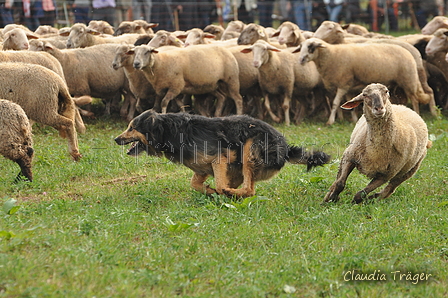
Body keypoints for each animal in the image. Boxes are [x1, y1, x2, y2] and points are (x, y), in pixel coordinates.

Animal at [114, 111, 330, 198]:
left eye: (132, 128)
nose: (115, 139)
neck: (168, 131)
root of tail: (285, 148)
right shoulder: (201, 167)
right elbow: (195, 184)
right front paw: (209, 192)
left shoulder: (220, 157)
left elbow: (218, 183)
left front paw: (218, 191)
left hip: (250, 149)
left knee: (249, 189)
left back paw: (232, 193)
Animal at [296, 37, 432, 125]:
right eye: (301, 47)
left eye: (311, 47)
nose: (301, 60)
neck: (331, 55)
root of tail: (409, 52)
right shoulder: (347, 85)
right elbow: (347, 103)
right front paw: (351, 119)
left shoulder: (344, 83)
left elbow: (335, 103)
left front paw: (330, 121)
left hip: (408, 79)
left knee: (414, 99)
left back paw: (417, 114)